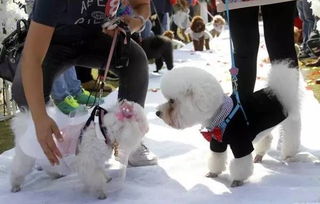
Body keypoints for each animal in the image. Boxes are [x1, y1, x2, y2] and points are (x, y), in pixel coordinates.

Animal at [10, 100, 148, 199]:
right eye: (139, 120)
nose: (147, 129)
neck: (105, 131)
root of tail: (24, 125)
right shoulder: (89, 163)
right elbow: (96, 178)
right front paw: (101, 193)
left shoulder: (97, 161)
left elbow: (101, 171)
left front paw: (107, 178)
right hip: (26, 158)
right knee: (17, 171)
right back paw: (15, 187)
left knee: (48, 167)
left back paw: (56, 175)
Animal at [158, 63, 302, 186]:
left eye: (172, 101)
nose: (157, 113)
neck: (222, 115)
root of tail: (278, 92)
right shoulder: (217, 142)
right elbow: (216, 158)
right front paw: (213, 173)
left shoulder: (241, 143)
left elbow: (241, 164)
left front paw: (237, 180)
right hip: (264, 126)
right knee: (266, 138)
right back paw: (259, 155)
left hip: (290, 121)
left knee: (291, 137)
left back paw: (289, 155)